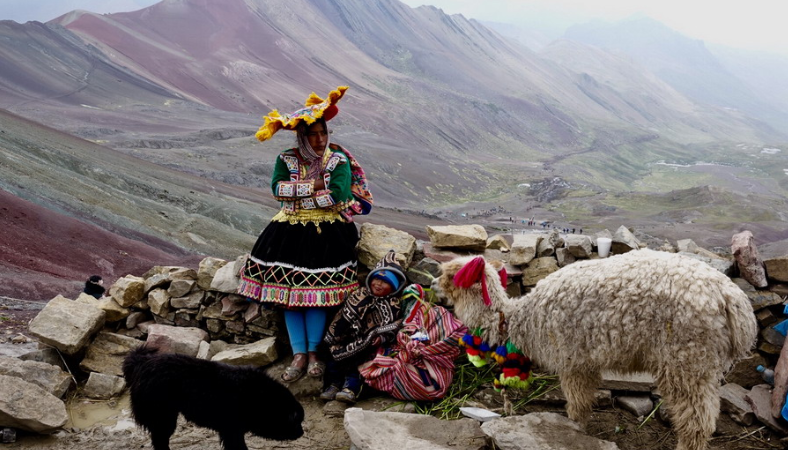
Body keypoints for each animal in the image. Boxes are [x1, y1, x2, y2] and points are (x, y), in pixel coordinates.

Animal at [435, 249, 757, 450]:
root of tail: (734, 301)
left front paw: (572, 429)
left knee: (696, 422)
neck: (519, 318)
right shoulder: (583, 359)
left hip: (686, 357)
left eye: (450, 276)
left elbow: (577, 403)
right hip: (701, 363)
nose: (434, 284)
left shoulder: (571, 358)